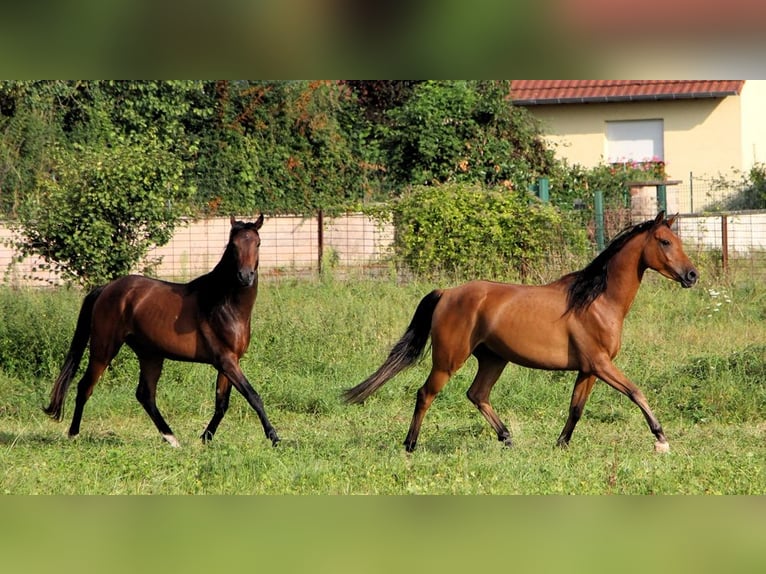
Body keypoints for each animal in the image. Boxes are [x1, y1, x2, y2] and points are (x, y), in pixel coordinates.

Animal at [44, 216, 282, 450]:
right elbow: (253, 396)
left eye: (258, 243)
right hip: (104, 349)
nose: (245, 276)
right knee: (85, 386)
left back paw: (171, 438)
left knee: (145, 395)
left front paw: (205, 438)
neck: (223, 304)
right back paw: (73, 434)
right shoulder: (225, 360)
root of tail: (106, 289)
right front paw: (274, 438)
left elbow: (222, 403)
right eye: (234, 245)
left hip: (150, 355)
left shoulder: (231, 361)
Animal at [348, 212, 704, 454]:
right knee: (425, 394)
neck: (596, 300)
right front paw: (661, 439)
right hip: (448, 361)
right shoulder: (601, 365)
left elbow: (576, 408)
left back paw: (507, 439)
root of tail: (447, 293)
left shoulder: (588, 369)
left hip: (493, 359)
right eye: (665, 242)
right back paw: (410, 445)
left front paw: (561, 444)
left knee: (477, 394)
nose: (692, 275)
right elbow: (636, 392)